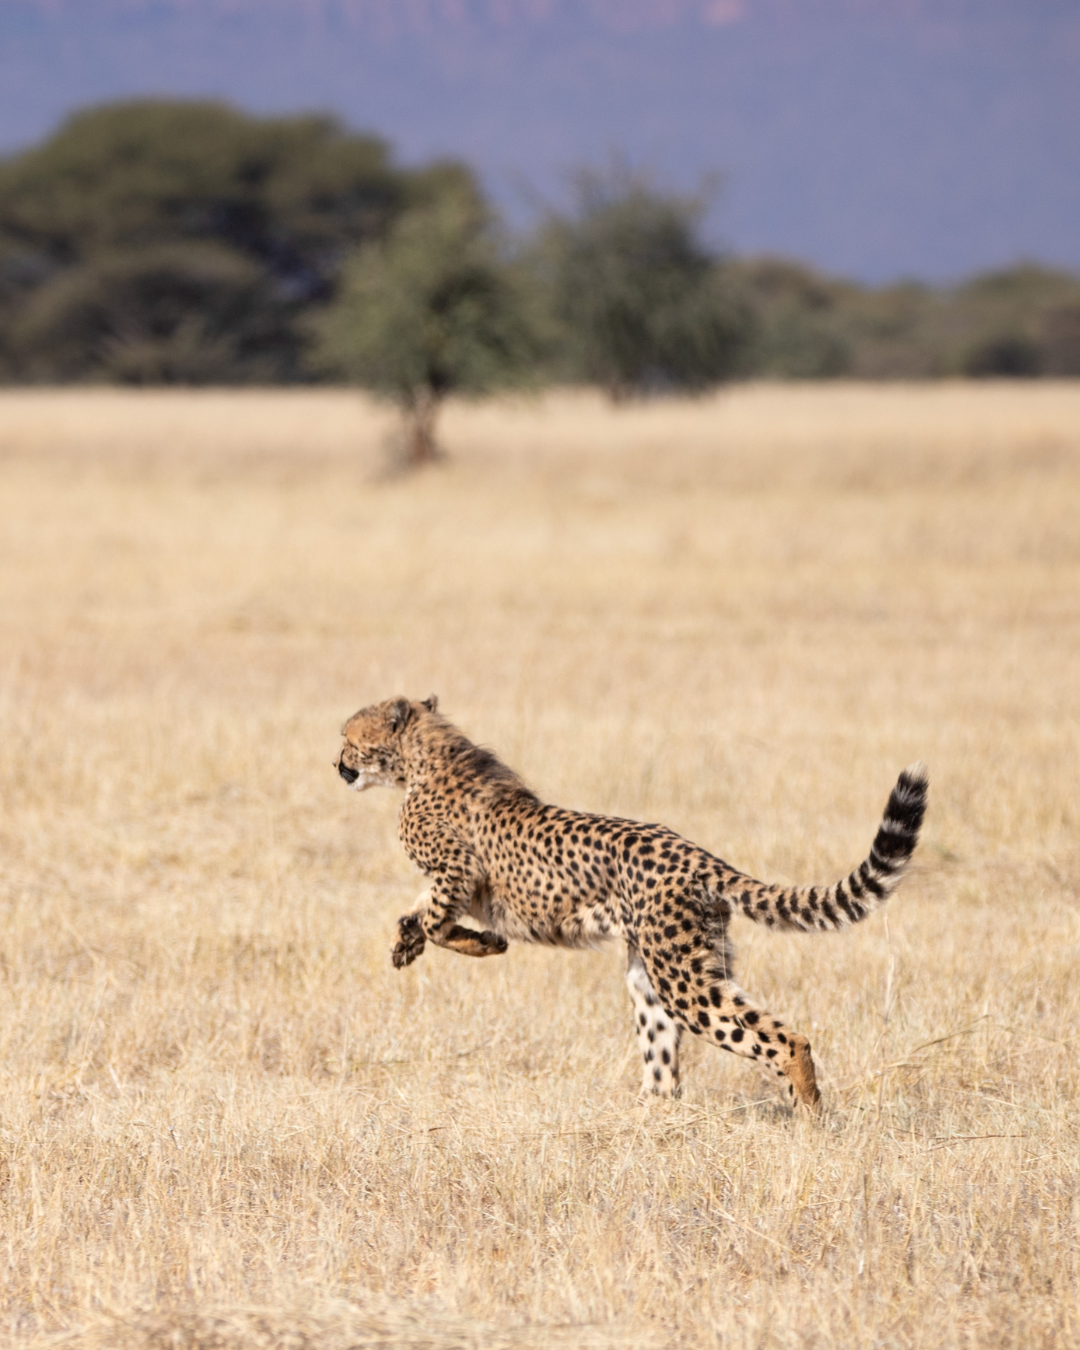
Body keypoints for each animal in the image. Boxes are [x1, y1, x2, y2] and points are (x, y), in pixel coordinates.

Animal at [336, 695, 928, 1110]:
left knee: (782, 1038)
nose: (336, 763)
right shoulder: (453, 880)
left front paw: (478, 944)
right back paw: (645, 1112)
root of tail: (697, 853)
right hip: (660, 971)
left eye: (348, 736)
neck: (426, 758)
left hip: (681, 977)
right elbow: (418, 911)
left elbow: (439, 920)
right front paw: (406, 942)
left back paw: (808, 1111)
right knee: (665, 1061)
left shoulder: (458, 872)